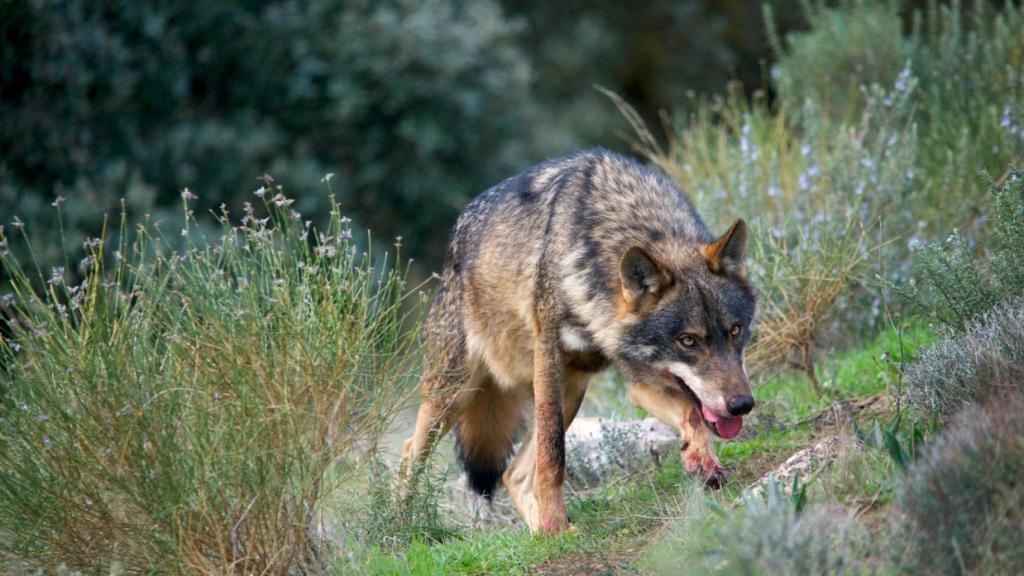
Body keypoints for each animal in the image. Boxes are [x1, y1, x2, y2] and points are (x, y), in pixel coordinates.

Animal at [401, 149, 757, 533]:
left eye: (735, 330)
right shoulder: (549, 358)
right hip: (455, 395)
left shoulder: (640, 379)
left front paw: (702, 460)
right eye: (688, 341)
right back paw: (401, 523)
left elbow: (692, 413)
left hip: (571, 390)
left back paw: (544, 535)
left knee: (513, 474)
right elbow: (553, 457)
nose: (742, 405)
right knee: (410, 453)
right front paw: (555, 520)